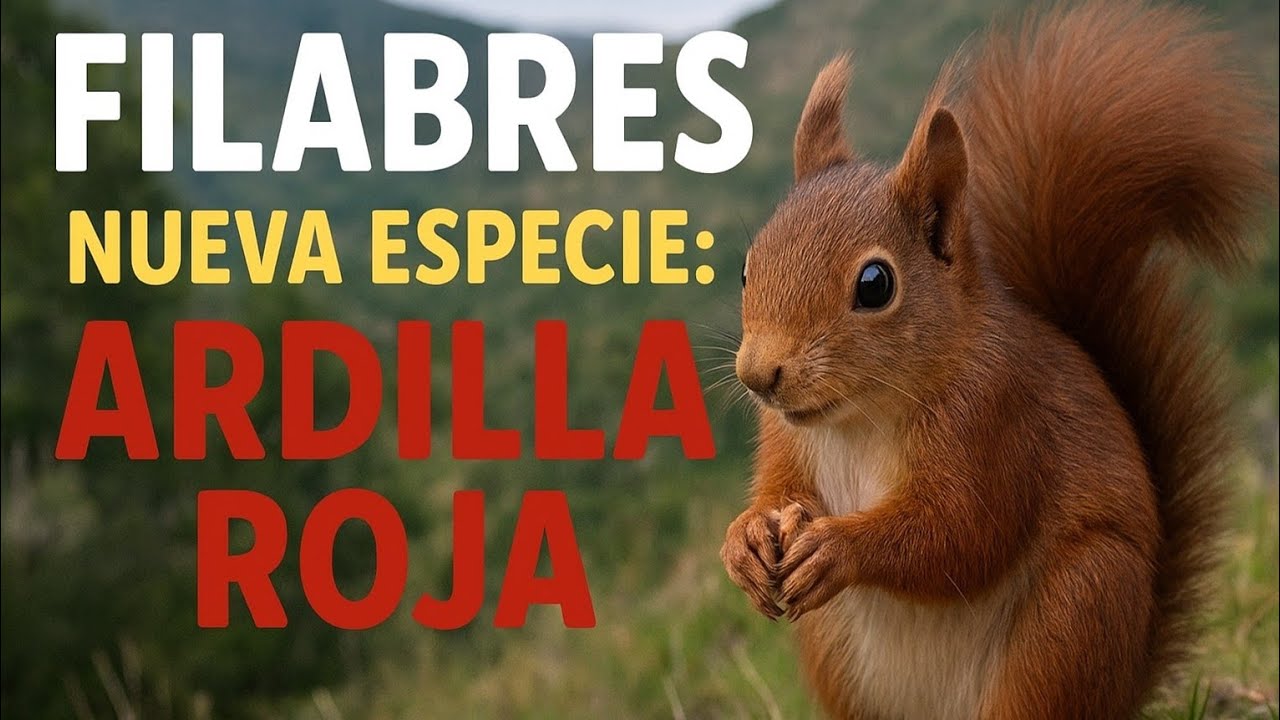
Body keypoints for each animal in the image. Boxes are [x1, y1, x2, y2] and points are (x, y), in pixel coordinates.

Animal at [719, 2, 1275, 719]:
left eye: (875, 284)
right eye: (746, 266)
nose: (758, 376)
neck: (861, 418)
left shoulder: (997, 419)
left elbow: (962, 532)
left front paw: (840, 546)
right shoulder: (787, 438)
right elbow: (777, 491)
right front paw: (745, 541)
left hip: (1072, 616)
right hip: (840, 660)